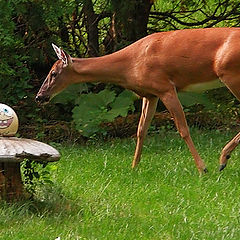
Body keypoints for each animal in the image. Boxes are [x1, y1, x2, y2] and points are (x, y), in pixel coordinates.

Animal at [35, 27, 240, 174]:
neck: (130, 66)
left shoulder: (165, 87)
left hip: (230, 74)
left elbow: (183, 129)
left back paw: (222, 159)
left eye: (53, 73)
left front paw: (202, 168)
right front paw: (134, 167)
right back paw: (224, 158)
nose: (39, 96)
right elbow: (141, 130)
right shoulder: (150, 94)